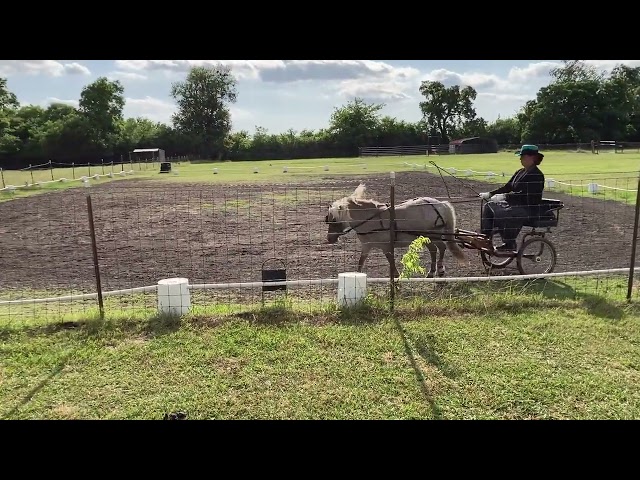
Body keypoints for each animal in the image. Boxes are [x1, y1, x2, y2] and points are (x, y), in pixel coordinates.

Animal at [324, 183, 464, 278]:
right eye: (328, 219)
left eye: (334, 220)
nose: (329, 239)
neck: (371, 218)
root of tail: (440, 204)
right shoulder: (367, 246)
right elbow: (360, 263)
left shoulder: (386, 246)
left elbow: (390, 261)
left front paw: (396, 277)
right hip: (426, 237)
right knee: (435, 249)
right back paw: (433, 272)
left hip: (431, 235)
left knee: (440, 248)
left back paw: (439, 270)